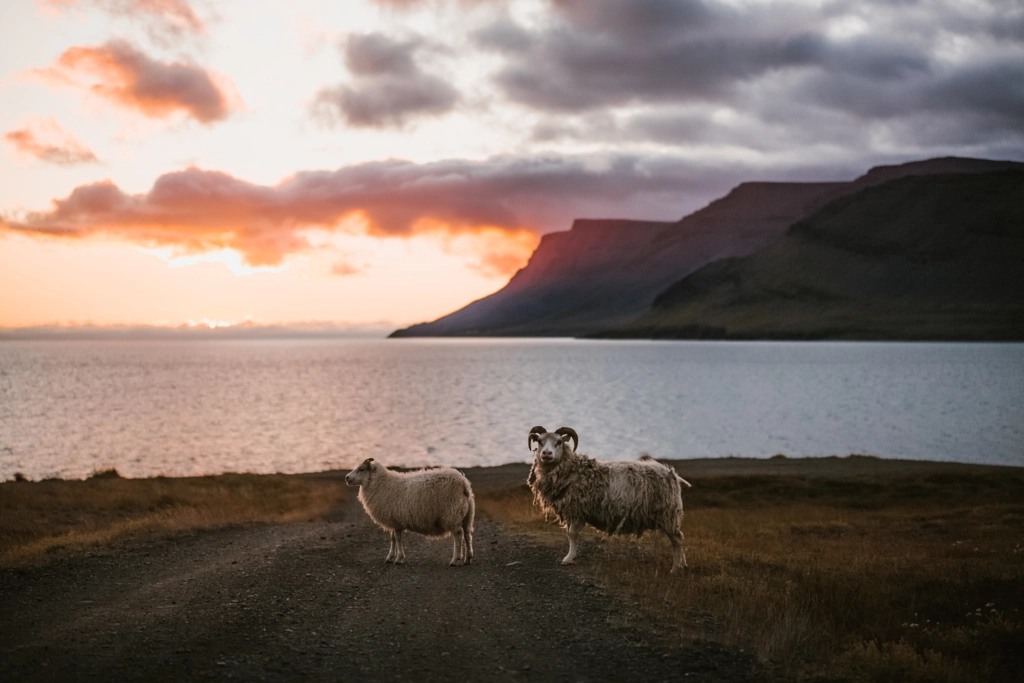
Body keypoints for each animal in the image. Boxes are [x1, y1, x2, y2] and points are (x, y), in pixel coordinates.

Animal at [528, 428, 688, 573]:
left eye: (559, 442)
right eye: (540, 441)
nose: (546, 453)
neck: (572, 470)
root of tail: (672, 475)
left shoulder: (577, 510)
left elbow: (572, 534)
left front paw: (569, 558)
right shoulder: (571, 510)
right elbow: (569, 534)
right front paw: (571, 556)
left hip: (668, 514)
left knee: (677, 539)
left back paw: (675, 568)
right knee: (678, 539)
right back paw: (682, 564)